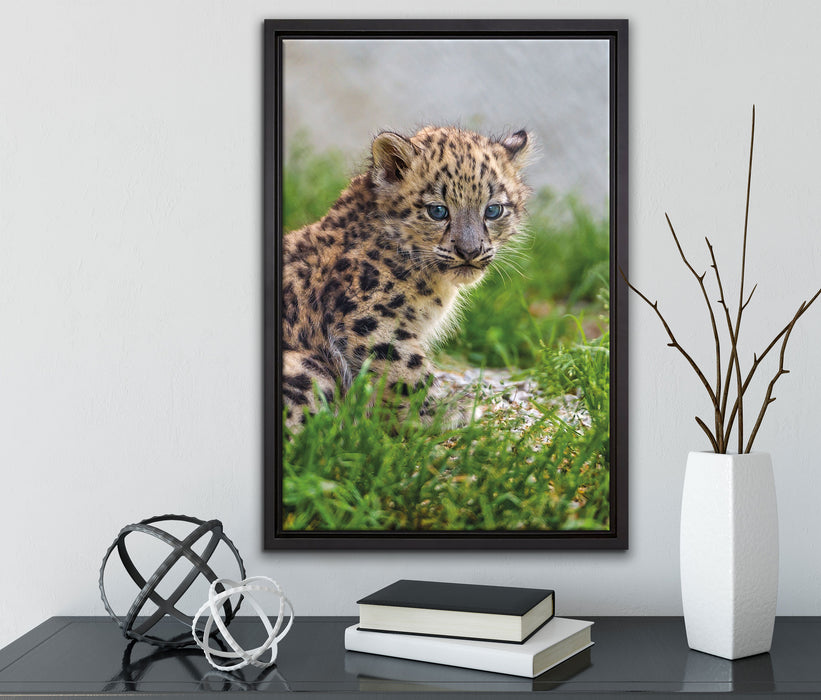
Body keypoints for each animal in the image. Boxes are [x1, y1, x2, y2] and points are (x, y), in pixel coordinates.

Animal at [281, 125, 533, 432]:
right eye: (437, 210)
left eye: (493, 210)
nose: (470, 251)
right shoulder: (371, 321)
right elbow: (409, 372)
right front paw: (446, 413)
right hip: (309, 368)